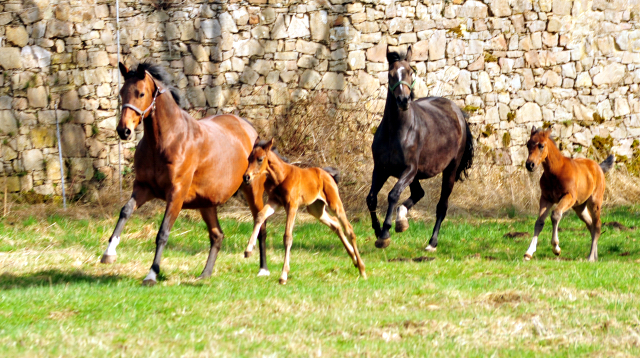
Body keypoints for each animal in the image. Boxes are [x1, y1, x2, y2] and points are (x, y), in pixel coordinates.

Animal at [100, 62, 270, 286]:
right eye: (121, 93)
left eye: (141, 93)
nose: (123, 130)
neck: (167, 141)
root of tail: (249, 129)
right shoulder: (144, 188)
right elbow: (125, 211)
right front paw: (109, 253)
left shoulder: (176, 194)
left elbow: (163, 232)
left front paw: (151, 275)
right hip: (206, 202)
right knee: (217, 235)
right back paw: (205, 274)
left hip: (252, 190)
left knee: (261, 225)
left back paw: (263, 269)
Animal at [242, 138, 368, 284]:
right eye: (248, 158)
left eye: (260, 159)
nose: (246, 177)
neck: (280, 176)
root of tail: (328, 174)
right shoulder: (275, 201)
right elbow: (260, 216)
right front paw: (248, 250)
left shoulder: (292, 205)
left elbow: (287, 237)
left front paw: (283, 275)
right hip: (315, 209)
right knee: (335, 224)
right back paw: (354, 258)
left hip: (334, 203)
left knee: (349, 229)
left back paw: (362, 268)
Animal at [368, 46, 472, 250]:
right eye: (391, 74)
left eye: (410, 72)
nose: (403, 100)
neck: (396, 130)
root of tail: (458, 113)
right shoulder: (381, 169)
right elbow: (371, 198)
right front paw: (377, 230)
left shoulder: (408, 169)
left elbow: (393, 195)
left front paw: (385, 233)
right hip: (416, 174)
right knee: (418, 193)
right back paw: (402, 220)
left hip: (449, 170)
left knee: (442, 206)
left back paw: (432, 242)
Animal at [524, 127, 616, 262]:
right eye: (528, 144)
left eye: (541, 145)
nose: (530, 165)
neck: (555, 172)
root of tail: (598, 167)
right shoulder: (546, 198)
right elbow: (539, 222)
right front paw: (528, 252)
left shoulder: (569, 197)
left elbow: (556, 215)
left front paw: (556, 248)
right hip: (579, 207)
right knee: (590, 225)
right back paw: (594, 256)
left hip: (595, 201)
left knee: (597, 225)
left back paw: (590, 257)